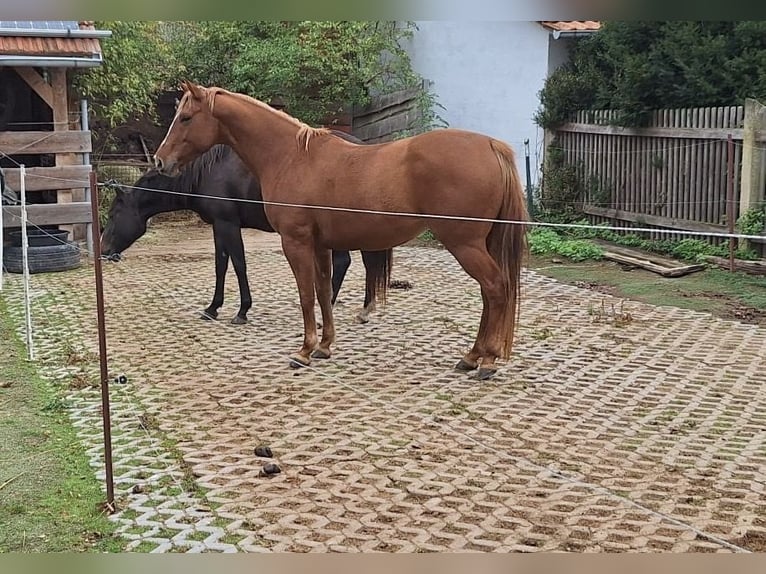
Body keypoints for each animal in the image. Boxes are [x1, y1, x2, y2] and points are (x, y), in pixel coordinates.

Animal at [101, 142, 392, 325]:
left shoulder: (228, 224)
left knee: (347, 263)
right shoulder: (218, 226)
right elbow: (221, 266)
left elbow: (239, 264)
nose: (103, 250)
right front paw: (212, 308)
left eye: (114, 214)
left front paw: (242, 311)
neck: (205, 174)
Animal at [154, 81, 527, 380]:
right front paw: (324, 346)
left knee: (496, 288)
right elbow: (322, 292)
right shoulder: (321, 245)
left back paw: (486, 361)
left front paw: (303, 352)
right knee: (490, 293)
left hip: (465, 244)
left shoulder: (296, 243)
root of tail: (491, 146)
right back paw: (473, 357)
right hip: (480, 244)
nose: (160, 161)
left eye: (186, 118)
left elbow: (306, 296)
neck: (291, 157)